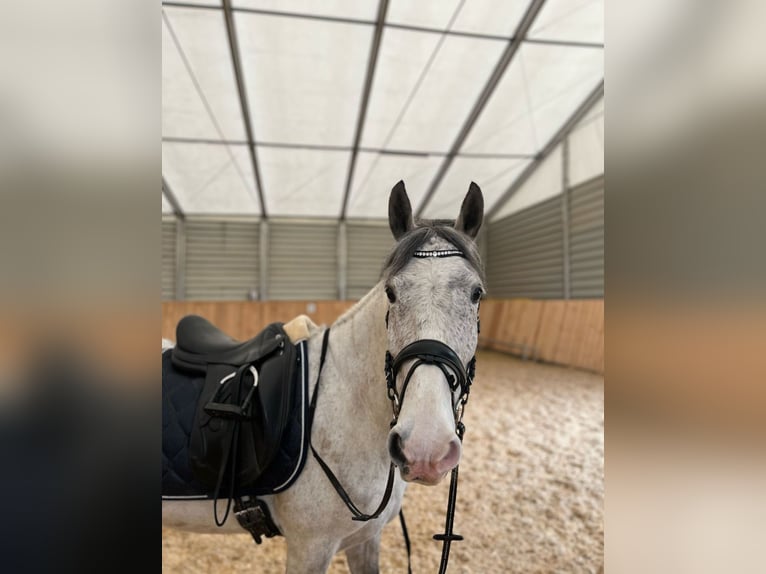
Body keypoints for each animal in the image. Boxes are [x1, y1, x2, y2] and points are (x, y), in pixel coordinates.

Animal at [162, 180, 485, 573]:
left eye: (476, 294)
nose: (425, 448)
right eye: (391, 292)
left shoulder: (364, 539)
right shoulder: (310, 547)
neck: (342, 406)